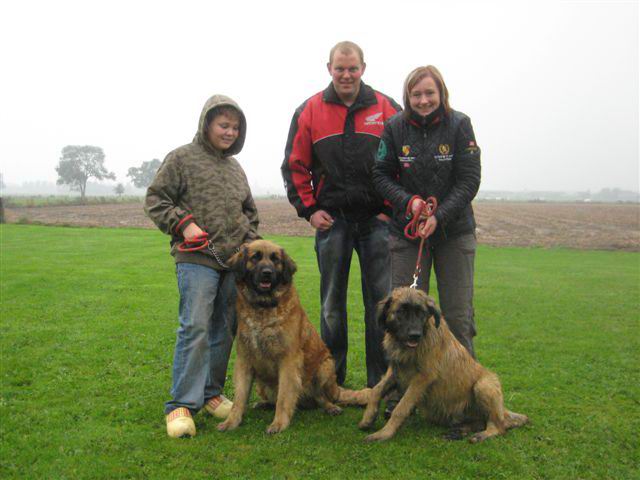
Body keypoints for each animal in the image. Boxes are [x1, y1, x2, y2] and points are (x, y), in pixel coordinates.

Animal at [216, 240, 370, 436]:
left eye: (275, 259)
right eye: (255, 257)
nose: (267, 273)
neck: (264, 308)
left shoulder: (288, 361)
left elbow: (283, 398)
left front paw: (279, 423)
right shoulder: (245, 360)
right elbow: (239, 398)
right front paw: (231, 421)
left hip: (325, 367)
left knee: (321, 397)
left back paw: (331, 407)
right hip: (261, 383)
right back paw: (263, 404)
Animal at [358, 286, 528, 444]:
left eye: (421, 312)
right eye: (401, 311)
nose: (415, 335)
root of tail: (504, 411)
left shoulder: (422, 378)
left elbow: (401, 407)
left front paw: (384, 433)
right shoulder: (395, 370)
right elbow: (376, 390)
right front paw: (368, 417)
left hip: (484, 385)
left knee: (499, 426)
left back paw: (481, 435)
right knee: (481, 422)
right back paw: (459, 431)